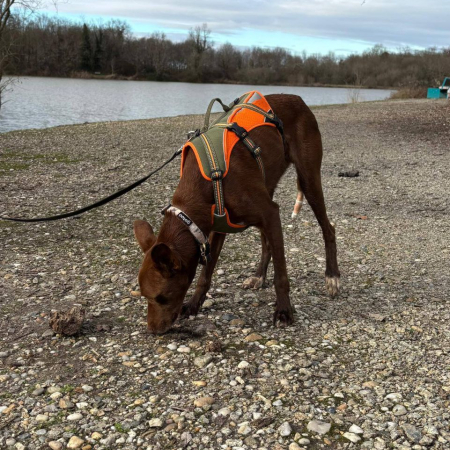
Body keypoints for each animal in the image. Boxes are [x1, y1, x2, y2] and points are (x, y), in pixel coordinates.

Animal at [133, 94, 340, 334]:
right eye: (144, 296)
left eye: (162, 298)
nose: (153, 331)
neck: (205, 181)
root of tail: (298, 99)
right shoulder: (216, 228)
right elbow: (205, 274)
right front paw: (193, 304)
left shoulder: (270, 213)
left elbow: (281, 275)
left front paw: (284, 311)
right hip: (268, 189)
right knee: (266, 243)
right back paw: (259, 276)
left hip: (308, 180)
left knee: (328, 229)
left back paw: (332, 276)